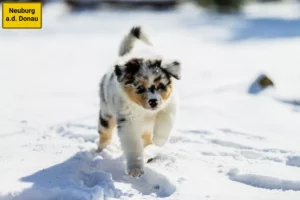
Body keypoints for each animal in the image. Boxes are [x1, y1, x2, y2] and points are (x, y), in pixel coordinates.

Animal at [97, 25, 180, 177]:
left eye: (161, 86)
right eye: (140, 87)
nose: (153, 102)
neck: (144, 112)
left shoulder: (169, 105)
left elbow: (164, 121)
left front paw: (158, 141)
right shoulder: (127, 122)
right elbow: (133, 146)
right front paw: (135, 169)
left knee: (146, 138)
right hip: (106, 112)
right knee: (104, 133)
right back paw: (101, 151)